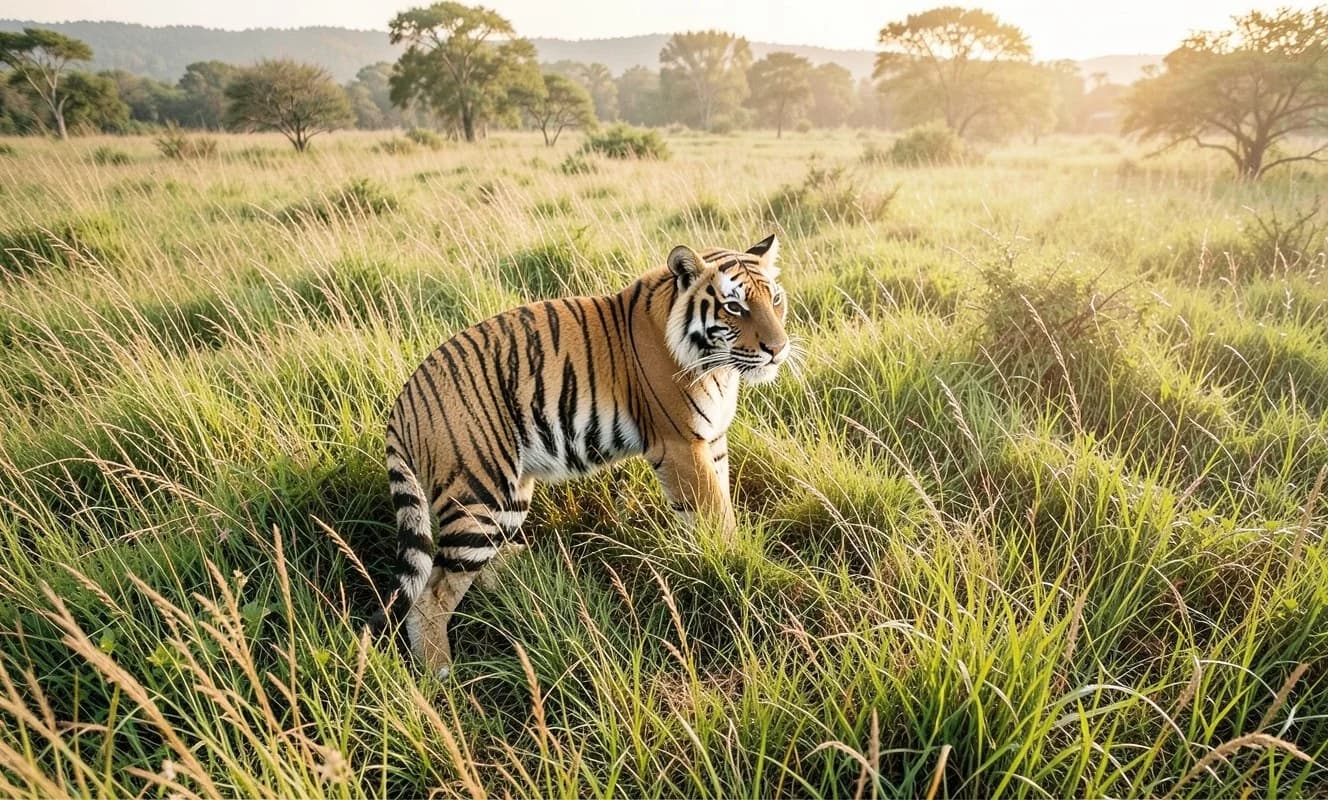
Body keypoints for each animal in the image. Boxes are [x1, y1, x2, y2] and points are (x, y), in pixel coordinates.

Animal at [375, 235, 790, 677]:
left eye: (775, 299)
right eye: (734, 307)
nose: (778, 349)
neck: (719, 368)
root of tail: (402, 401)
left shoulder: (712, 443)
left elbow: (718, 504)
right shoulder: (682, 445)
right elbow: (715, 515)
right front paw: (730, 564)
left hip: (509, 495)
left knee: (473, 567)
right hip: (478, 493)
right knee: (430, 593)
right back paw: (439, 673)